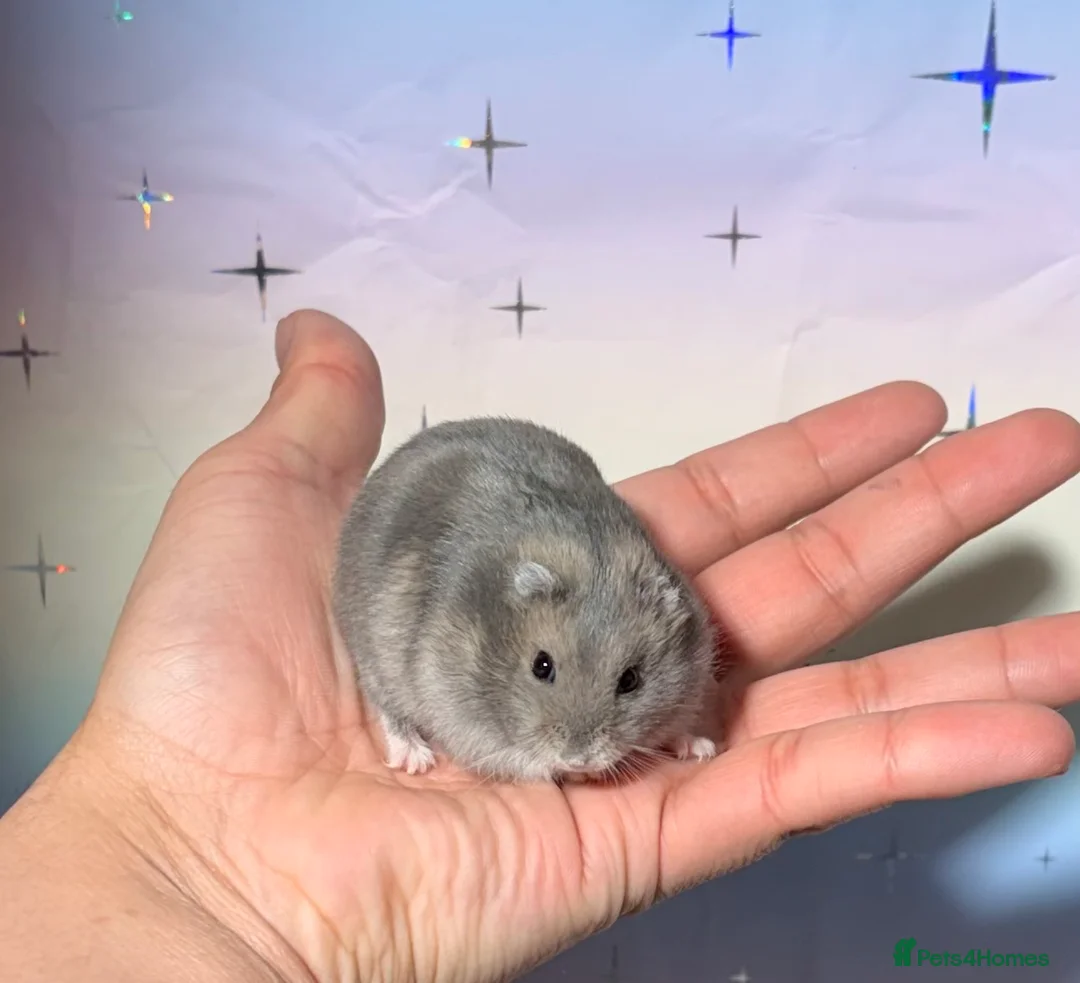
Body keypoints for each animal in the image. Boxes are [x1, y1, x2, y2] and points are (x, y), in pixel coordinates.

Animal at [332, 417, 719, 783]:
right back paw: (416, 760)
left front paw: (700, 747)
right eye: (541, 666)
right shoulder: (458, 710)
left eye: (630, 680)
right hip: (376, 657)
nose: (578, 759)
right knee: (388, 707)